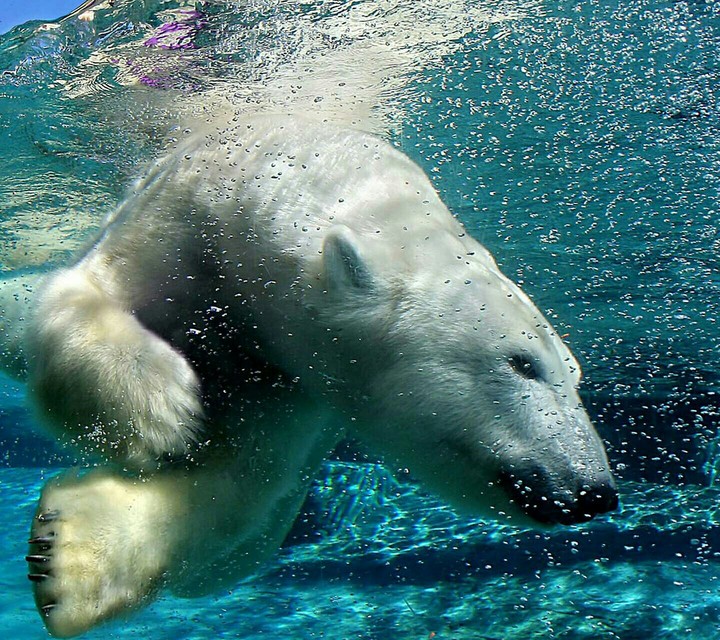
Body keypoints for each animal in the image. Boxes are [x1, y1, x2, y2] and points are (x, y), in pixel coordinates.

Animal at [0, 114, 617, 637]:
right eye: (522, 362)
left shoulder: (300, 383)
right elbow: (85, 294)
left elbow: (240, 481)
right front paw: (164, 409)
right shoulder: (184, 217)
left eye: (575, 377)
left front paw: (64, 554)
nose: (594, 491)